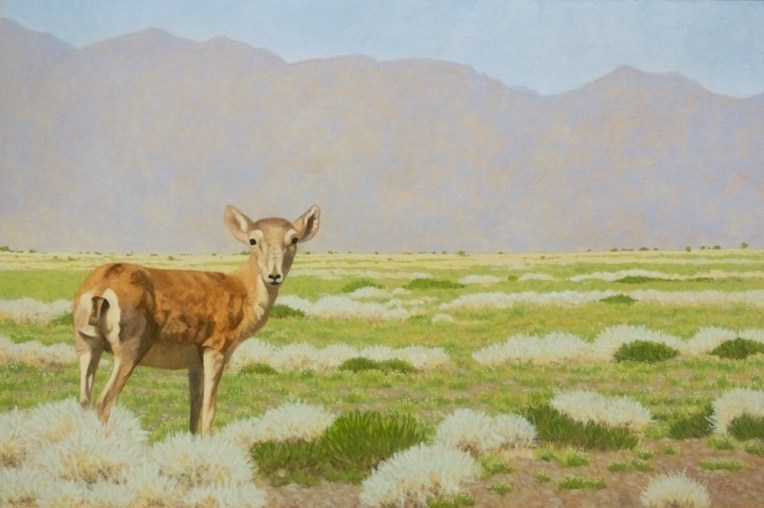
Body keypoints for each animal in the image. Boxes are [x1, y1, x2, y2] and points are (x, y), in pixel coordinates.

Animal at [73, 204, 319, 435]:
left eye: (294, 239)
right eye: (253, 240)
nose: (274, 275)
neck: (242, 288)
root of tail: (100, 286)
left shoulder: (195, 362)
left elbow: (195, 407)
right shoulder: (216, 349)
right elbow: (210, 410)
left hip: (87, 345)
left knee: (84, 399)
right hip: (129, 351)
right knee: (103, 401)